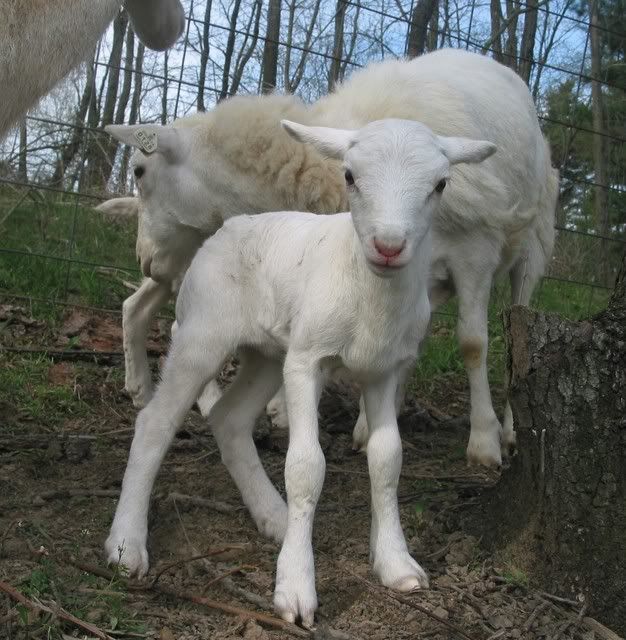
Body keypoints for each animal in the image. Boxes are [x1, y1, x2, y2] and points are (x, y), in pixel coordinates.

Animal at [98, 48, 559, 467]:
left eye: (139, 171)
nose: (144, 259)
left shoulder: (474, 252)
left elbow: (473, 343)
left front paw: (483, 442)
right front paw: (368, 423)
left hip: (532, 243)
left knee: (520, 323)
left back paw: (510, 431)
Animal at [105, 117, 498, 626]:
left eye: (441, 184)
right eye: (349, 175)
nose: (389, 246)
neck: (366, 289)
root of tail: (228, 225)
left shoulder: (382, 370)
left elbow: (387, 460)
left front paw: (397, 563)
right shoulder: (308, 359)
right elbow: (306, 465)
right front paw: (295, 588)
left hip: (268, 352)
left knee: (229, 420)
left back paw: (273, 515)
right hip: (205, 330)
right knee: (156, 421)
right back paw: (127, 545)